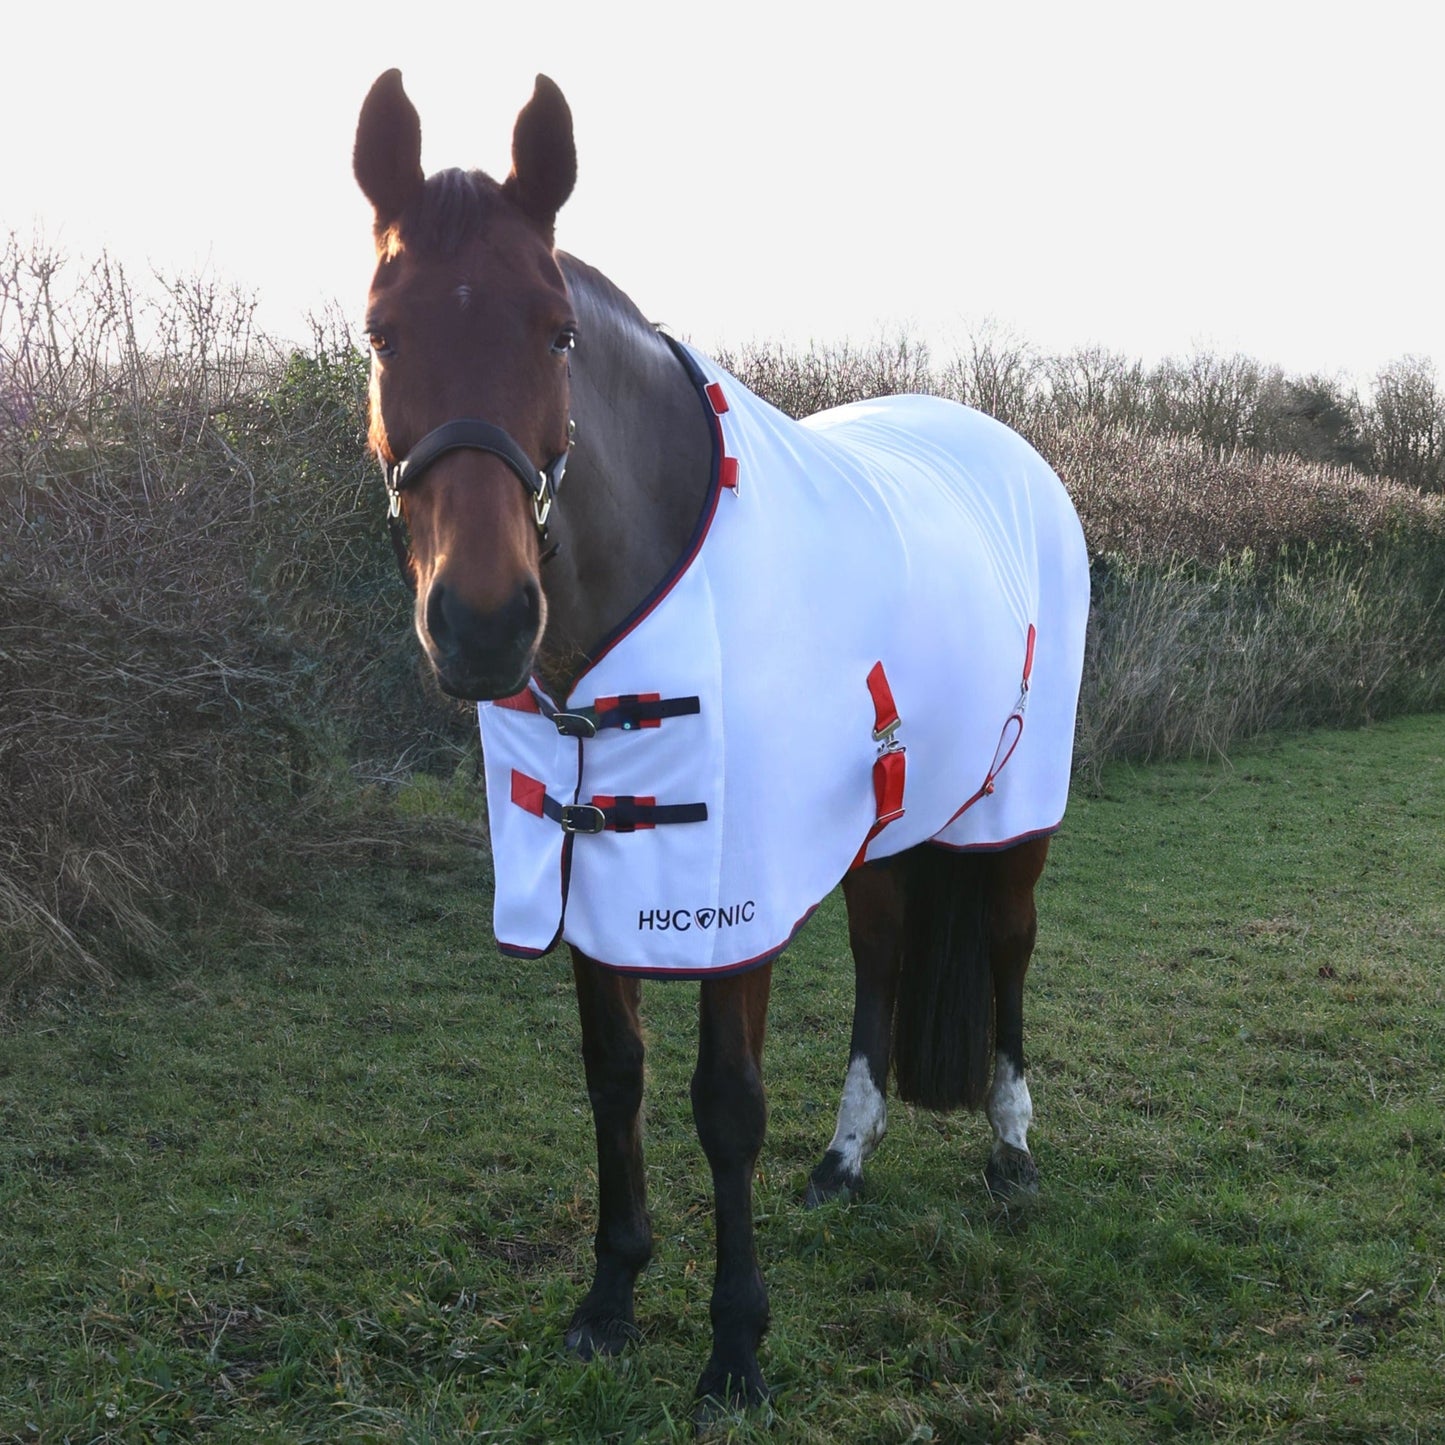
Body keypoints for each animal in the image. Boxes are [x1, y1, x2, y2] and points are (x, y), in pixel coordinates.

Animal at [352, 69, 1090, 1414]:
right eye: (381, 332)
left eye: (556, 331)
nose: (480, 624)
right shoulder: (590, 872)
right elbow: (615, 1077)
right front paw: (608, 1297)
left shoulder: (725, 897)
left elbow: (723, 1103)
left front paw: (735, 1343)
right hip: (884, 826)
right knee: (880, 955)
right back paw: (845, 1155)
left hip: (1012, 804)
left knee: (1008, 947)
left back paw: (1010, 1147)